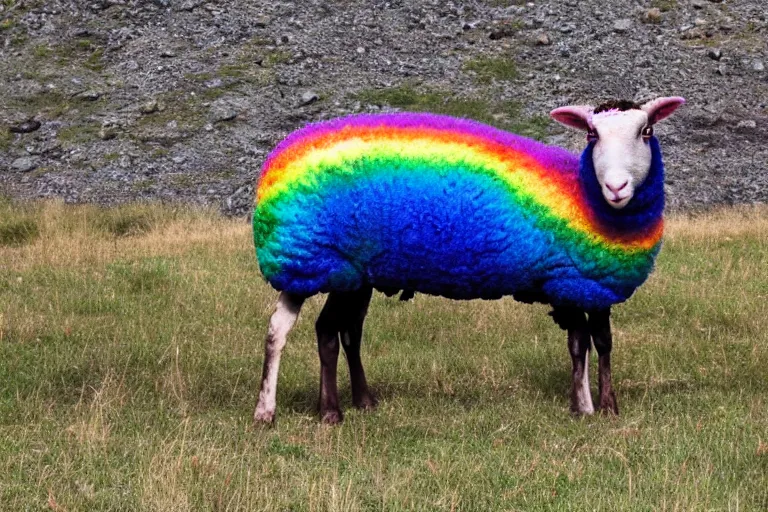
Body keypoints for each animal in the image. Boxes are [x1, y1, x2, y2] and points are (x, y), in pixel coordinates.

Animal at [250, 96, 684, 424]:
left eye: (646, 131)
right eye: (592, 134)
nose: (616, 186)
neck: (579, 194)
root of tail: (274, 164)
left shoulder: (580, 284)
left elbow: (592, 344)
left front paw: (595, 405)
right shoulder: (575, 282)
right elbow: (588, 345)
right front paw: (594, 408)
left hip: (347, 271)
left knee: (317, 331)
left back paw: (319, 406)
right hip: (322, 259)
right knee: (320, 331)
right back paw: (325, 412)